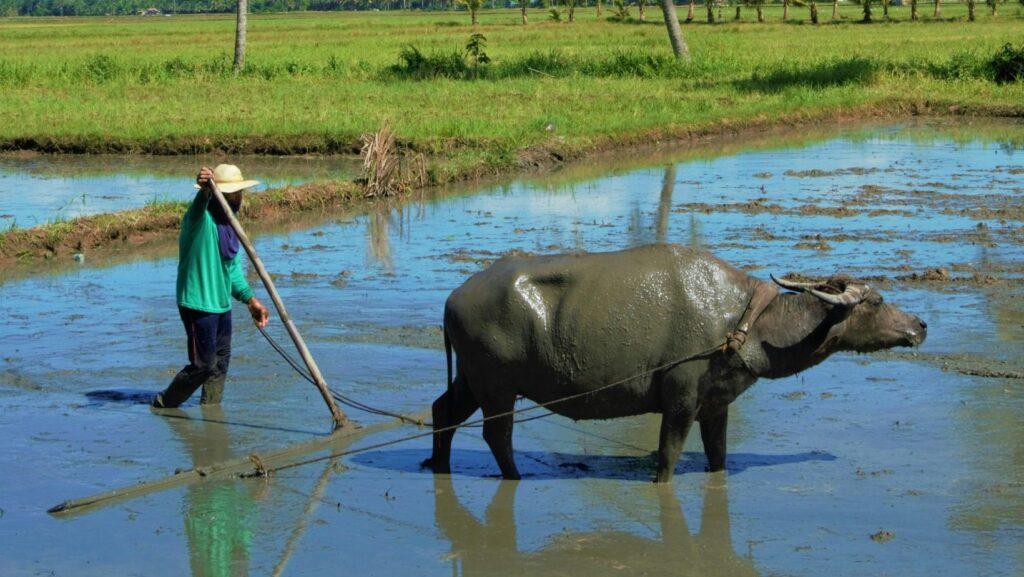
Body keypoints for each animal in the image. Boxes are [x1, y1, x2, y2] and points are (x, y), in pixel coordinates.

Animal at [423, 244, 929, 483]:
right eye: (876, 301)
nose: (920, 326)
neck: (744, 323)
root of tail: (453, 297)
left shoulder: (717, 405)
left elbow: (718, 456)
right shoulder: (680, 400)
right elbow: (667, 458)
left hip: (471, 379)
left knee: (442, 410)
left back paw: (439, 464)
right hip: (496, 387)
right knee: (496, 435)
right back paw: (513, 477)